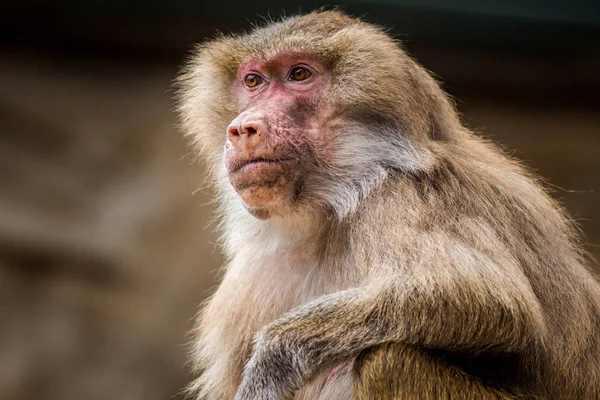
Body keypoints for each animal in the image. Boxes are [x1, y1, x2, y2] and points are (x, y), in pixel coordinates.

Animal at [176, 9, 600, 400]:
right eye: (253, 81)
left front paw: (270, 365)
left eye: (298, 75)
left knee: (388, 360)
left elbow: (488, 300)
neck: (336, 203)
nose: (243, 128)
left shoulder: (403, 196)